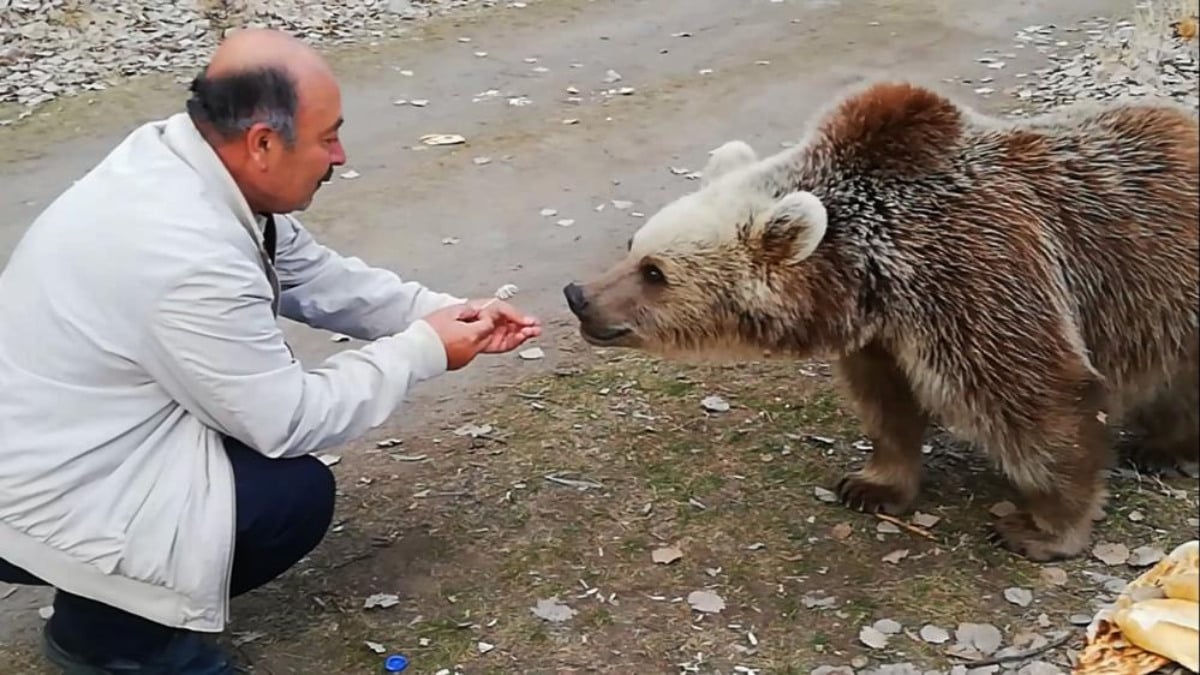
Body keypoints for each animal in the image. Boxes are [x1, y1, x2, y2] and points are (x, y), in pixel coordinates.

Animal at [561, 78, 1200, 559]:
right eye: (634, 244)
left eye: (655, 271)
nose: (578, 294)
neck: (878, 271)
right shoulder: (883, 335)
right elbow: (887, 403)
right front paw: (872, 484)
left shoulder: (977, 271)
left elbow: (1038, 396)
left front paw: (1040, 528)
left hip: (1171, 290)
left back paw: (1163, 448)